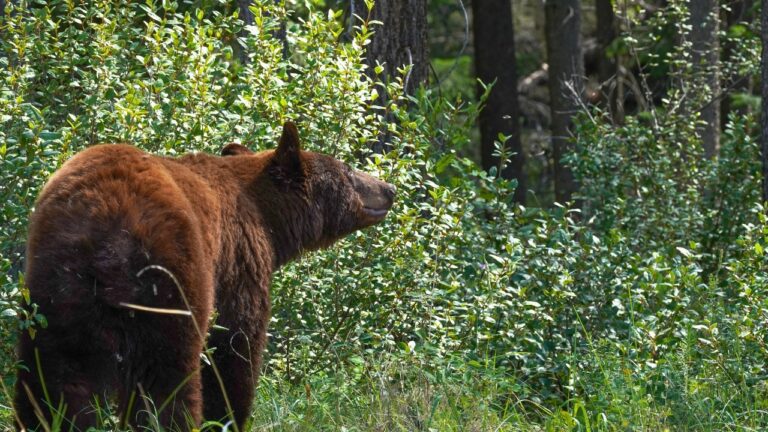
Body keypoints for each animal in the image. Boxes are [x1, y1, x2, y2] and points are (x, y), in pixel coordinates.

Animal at [14, 121, 395, 431]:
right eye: (347, 171)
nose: (389, 189)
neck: (267, 218)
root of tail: (102, 227)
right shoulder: (240, 260)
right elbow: (235, 345)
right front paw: (228, 417)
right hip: (168, 275)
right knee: (167, 377)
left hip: (55, 291)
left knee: (51, 377)